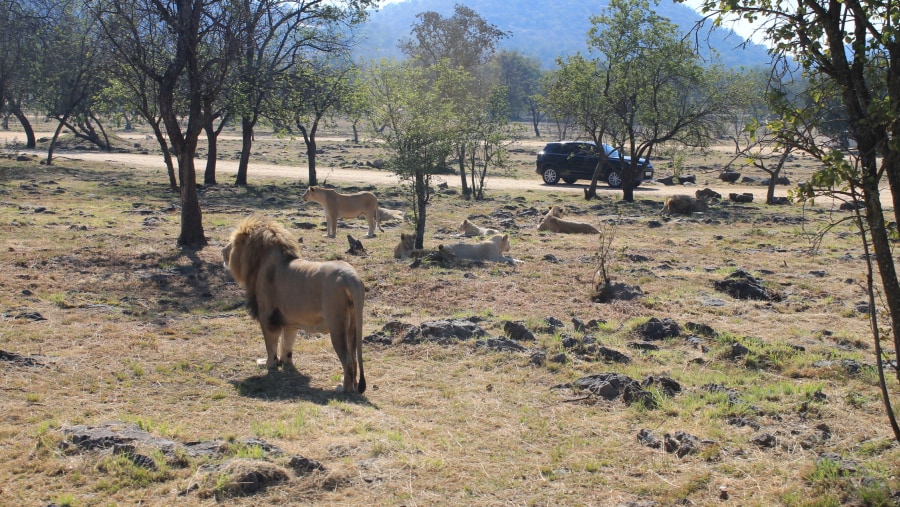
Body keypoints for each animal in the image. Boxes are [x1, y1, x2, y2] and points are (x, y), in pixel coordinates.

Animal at [221, 216, 366, 394]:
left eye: (231, 243)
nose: (222, 250)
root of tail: (351, 277)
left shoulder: (267, 317)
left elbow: (271, 344)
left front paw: (269, 364)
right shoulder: (289, 321)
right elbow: (287, 343)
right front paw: (285, 362)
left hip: (337, 326)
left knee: (348, 361)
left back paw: (342, 389)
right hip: (353, 327)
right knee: (354, 359)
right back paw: (353, 386)